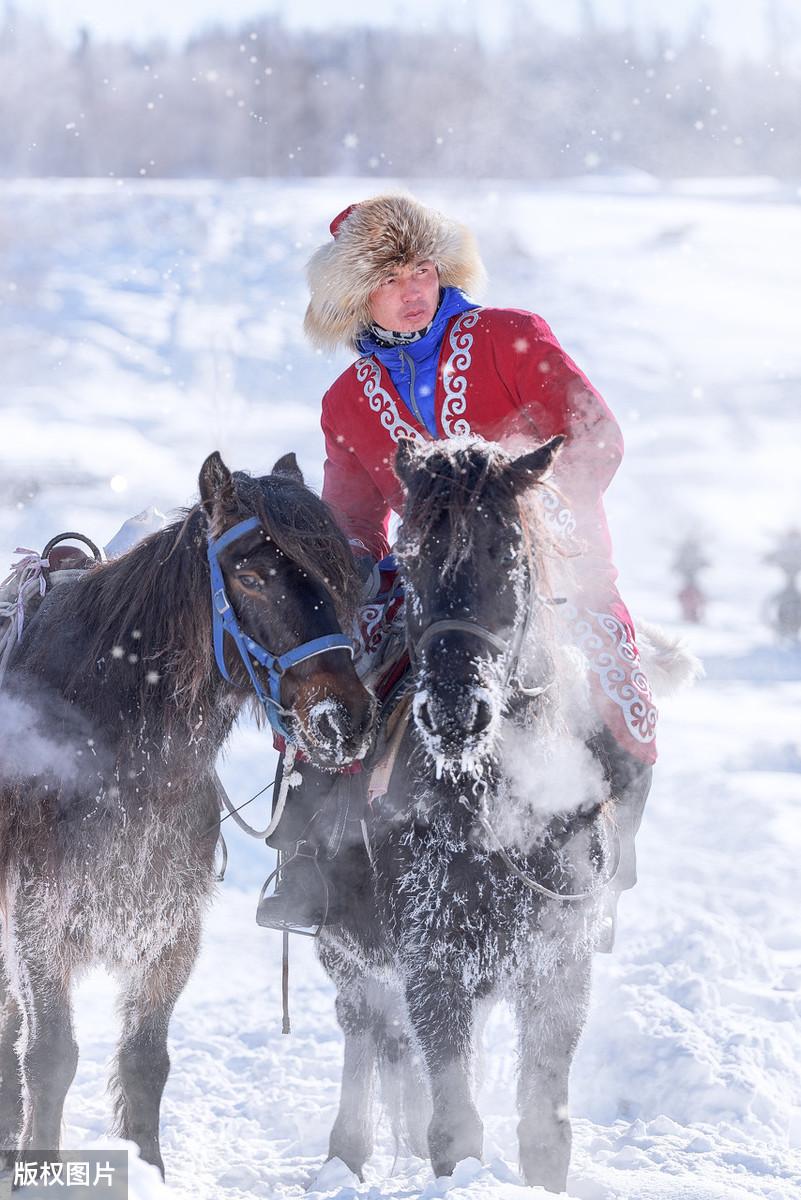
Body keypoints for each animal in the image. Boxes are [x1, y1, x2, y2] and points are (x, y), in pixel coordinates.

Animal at [0, 451, 371, 1171]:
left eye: (337, 571)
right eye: (250, 576)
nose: (344, 717)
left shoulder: (171, 930)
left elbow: (146, 1061)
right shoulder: (38, 922)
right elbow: (50, 1057)